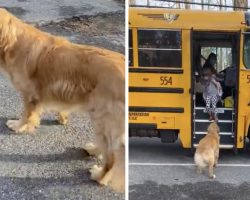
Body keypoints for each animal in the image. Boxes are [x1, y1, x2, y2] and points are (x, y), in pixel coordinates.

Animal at [0, 9, 124, 192]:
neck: (12, 41)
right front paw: (62, 118)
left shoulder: (30, 93)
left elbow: (27, 114)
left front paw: (18, 126)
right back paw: (93, 149)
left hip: (104, 118)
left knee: (112, 158)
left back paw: (99, 176)